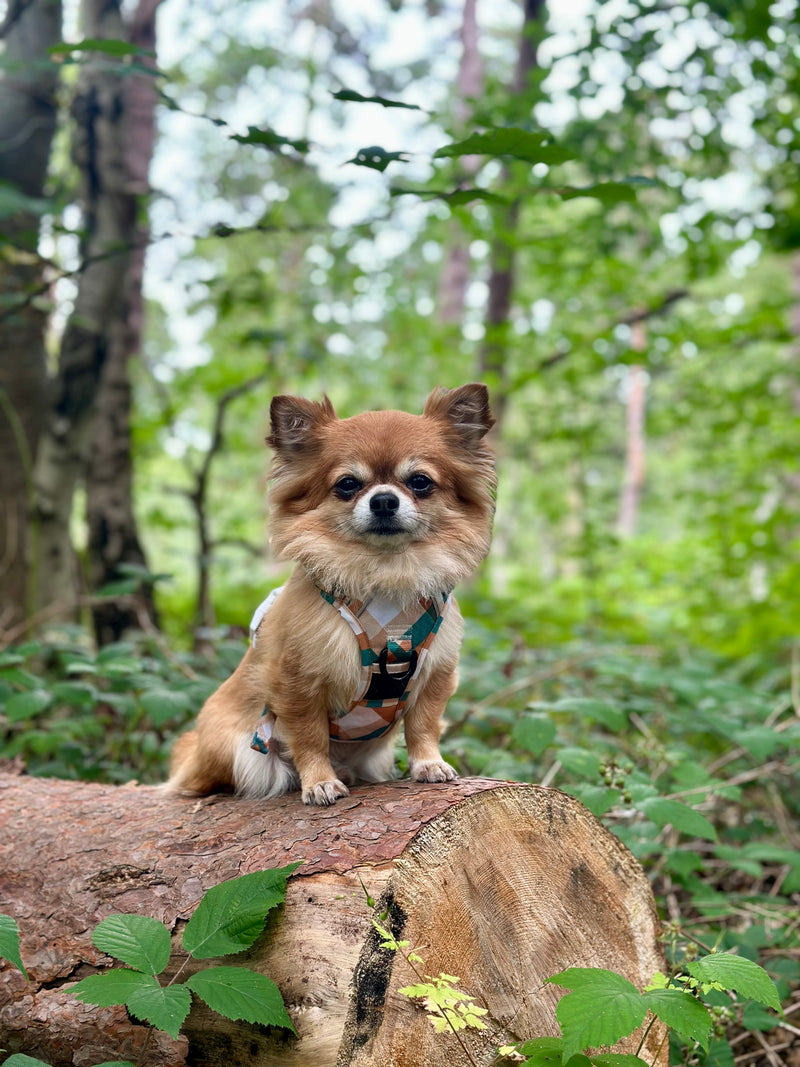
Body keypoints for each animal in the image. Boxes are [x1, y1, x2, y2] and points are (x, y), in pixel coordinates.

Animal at [168, 379, 494, 802]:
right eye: (348, 485)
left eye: (420, 482)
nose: (383, 500)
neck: (386, 575)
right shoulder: (297, 682)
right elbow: (310, 737)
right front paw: (319, 781)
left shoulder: (435, 675)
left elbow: (423, 726)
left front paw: (428, 765)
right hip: (239, 750)